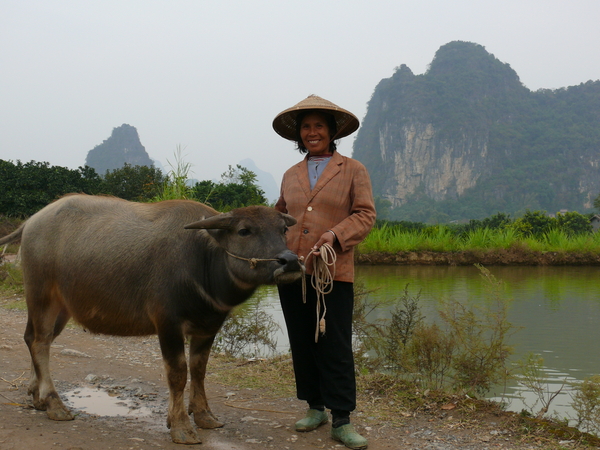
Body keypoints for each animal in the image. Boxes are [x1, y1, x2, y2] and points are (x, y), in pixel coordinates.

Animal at [0, 193, 302, 442]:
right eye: (244, 231)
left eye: (283, 229)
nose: (290, 261)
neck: (202, 259)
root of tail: (33, 221)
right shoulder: (167, 324)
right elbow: (178, 373)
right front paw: (180, 426)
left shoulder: (208, 327)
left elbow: (199, 369)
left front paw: (204, 415)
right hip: (41, 296)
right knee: (39, 342)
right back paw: (54, 403)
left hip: (62, 307)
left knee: (37, 339)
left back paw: (37, 395)